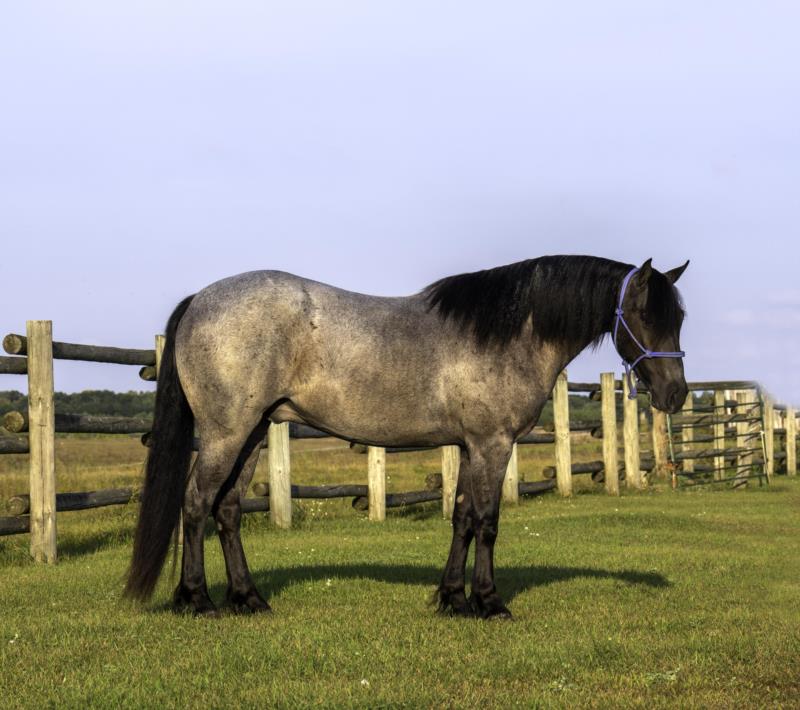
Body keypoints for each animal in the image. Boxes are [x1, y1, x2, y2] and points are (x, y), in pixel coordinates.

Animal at [125, 255, 689, 619]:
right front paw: (489, 603)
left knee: (227, 510)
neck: (509, 333)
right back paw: (197, 600)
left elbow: (462, 518)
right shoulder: (493, 444)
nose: (675, 393)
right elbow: (487, 523)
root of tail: (201, 299)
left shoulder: (469, 447)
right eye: (644, 314)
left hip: (253, 433)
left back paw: (249, 600)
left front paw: (453, 599)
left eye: (679, 316)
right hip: (227, 433)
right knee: (196, 504)